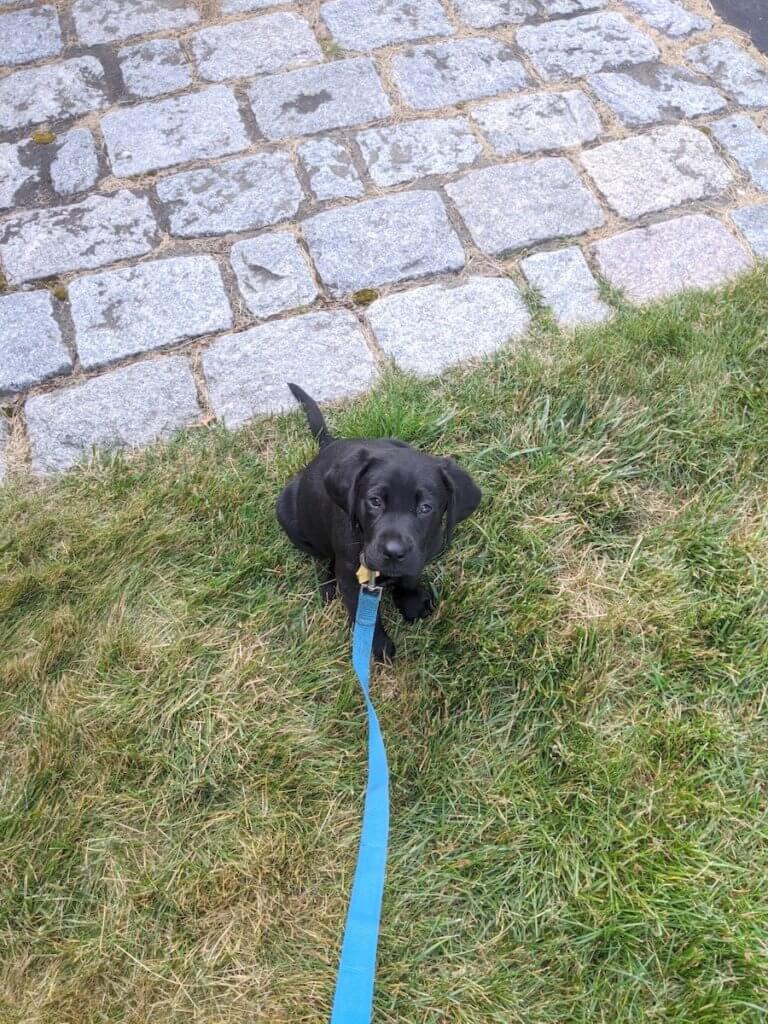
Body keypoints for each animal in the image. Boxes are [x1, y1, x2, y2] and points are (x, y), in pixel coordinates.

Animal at [276, 385, 481, 663]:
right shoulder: (352, 580)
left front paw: (411, 601)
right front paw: (376, 646)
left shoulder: (419, 555)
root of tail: (330, 445)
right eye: (375, 501)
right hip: (289, 516)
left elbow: (409, 577)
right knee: (325, 556)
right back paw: (328, 584)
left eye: (425, 508)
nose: (393, 552)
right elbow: (362, 615)